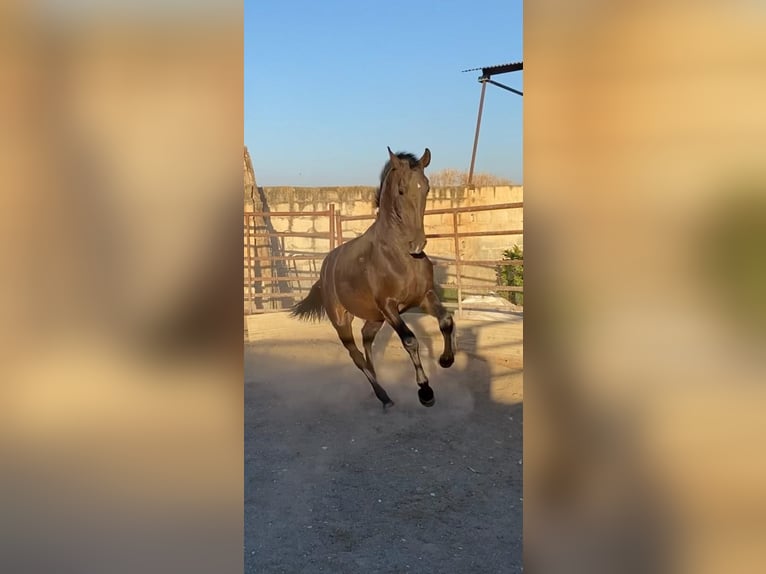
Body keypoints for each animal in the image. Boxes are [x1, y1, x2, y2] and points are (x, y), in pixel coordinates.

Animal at [288, 147, 456, 410]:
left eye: (427, 187)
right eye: (401, 190)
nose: (418, 244)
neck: (400, 255)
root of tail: (325, 268)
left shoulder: (424, 297)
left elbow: (446, 321)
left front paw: (446, 360)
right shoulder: (389, 306)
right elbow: (410, 340)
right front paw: (425, 391)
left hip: (375, 318)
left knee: (366, 339)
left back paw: (377, 387)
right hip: (342, 320)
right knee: (356, 355)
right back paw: (383, 396)